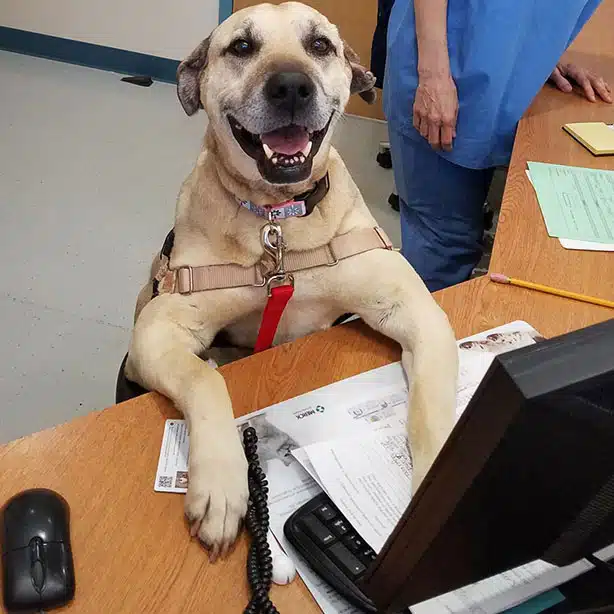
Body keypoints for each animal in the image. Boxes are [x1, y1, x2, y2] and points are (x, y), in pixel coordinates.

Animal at [126, 2, 458, 564]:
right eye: (241, 46)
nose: (290, 87)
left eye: (320, 45)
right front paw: (222, 482)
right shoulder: (158, 329)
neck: (277, 223)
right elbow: (206, 380)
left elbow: (432, 409)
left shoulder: (417, 311)